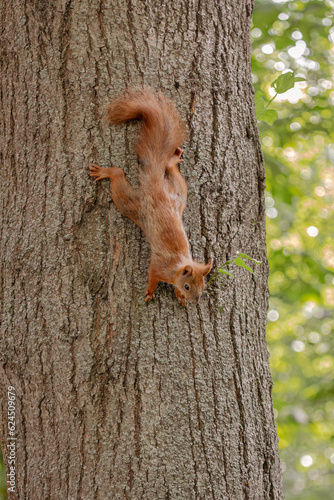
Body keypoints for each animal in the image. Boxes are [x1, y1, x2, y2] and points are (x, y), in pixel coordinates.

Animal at [88, 88, 211, 306]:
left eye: (203, 286)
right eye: (188, 286)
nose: (195, 301)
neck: (177, 266)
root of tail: (157, 189)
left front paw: (179, 296)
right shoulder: (158, 266)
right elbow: (152, 277)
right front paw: (150, 292)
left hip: (178, 196)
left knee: (170, 170)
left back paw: (171, 161)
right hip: (133, 206)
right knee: (119, 179)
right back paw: (108, 172)